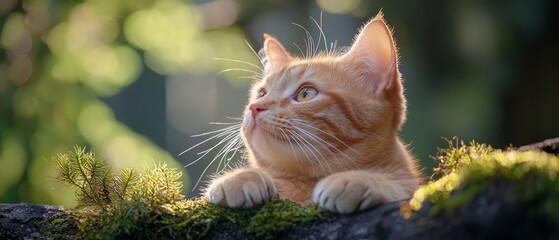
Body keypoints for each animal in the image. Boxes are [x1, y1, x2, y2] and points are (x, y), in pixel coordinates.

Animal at [206, 12, 420, 214]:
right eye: (261, 94)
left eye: (305, 94)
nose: (255, 107)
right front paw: (241, 177)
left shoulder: (410, 184)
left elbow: (403, 188)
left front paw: (358, 179)